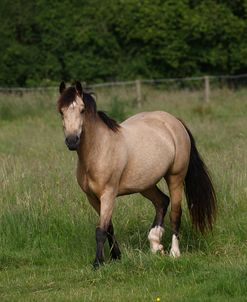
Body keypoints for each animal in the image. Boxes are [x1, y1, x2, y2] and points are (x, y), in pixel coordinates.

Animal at [57, 81, 216, 268]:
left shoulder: (108, 194)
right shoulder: (92, 198)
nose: (72, 141)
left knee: (175, 213)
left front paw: (98, 263)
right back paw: (155, 243)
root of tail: (174, 121)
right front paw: (116, 256)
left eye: (82, 110)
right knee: (162, 202)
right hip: (146, 184)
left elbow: (101, 230)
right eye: (61, 111)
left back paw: (174, 252)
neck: (99, 149)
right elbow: (109, 227)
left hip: (175, 177)